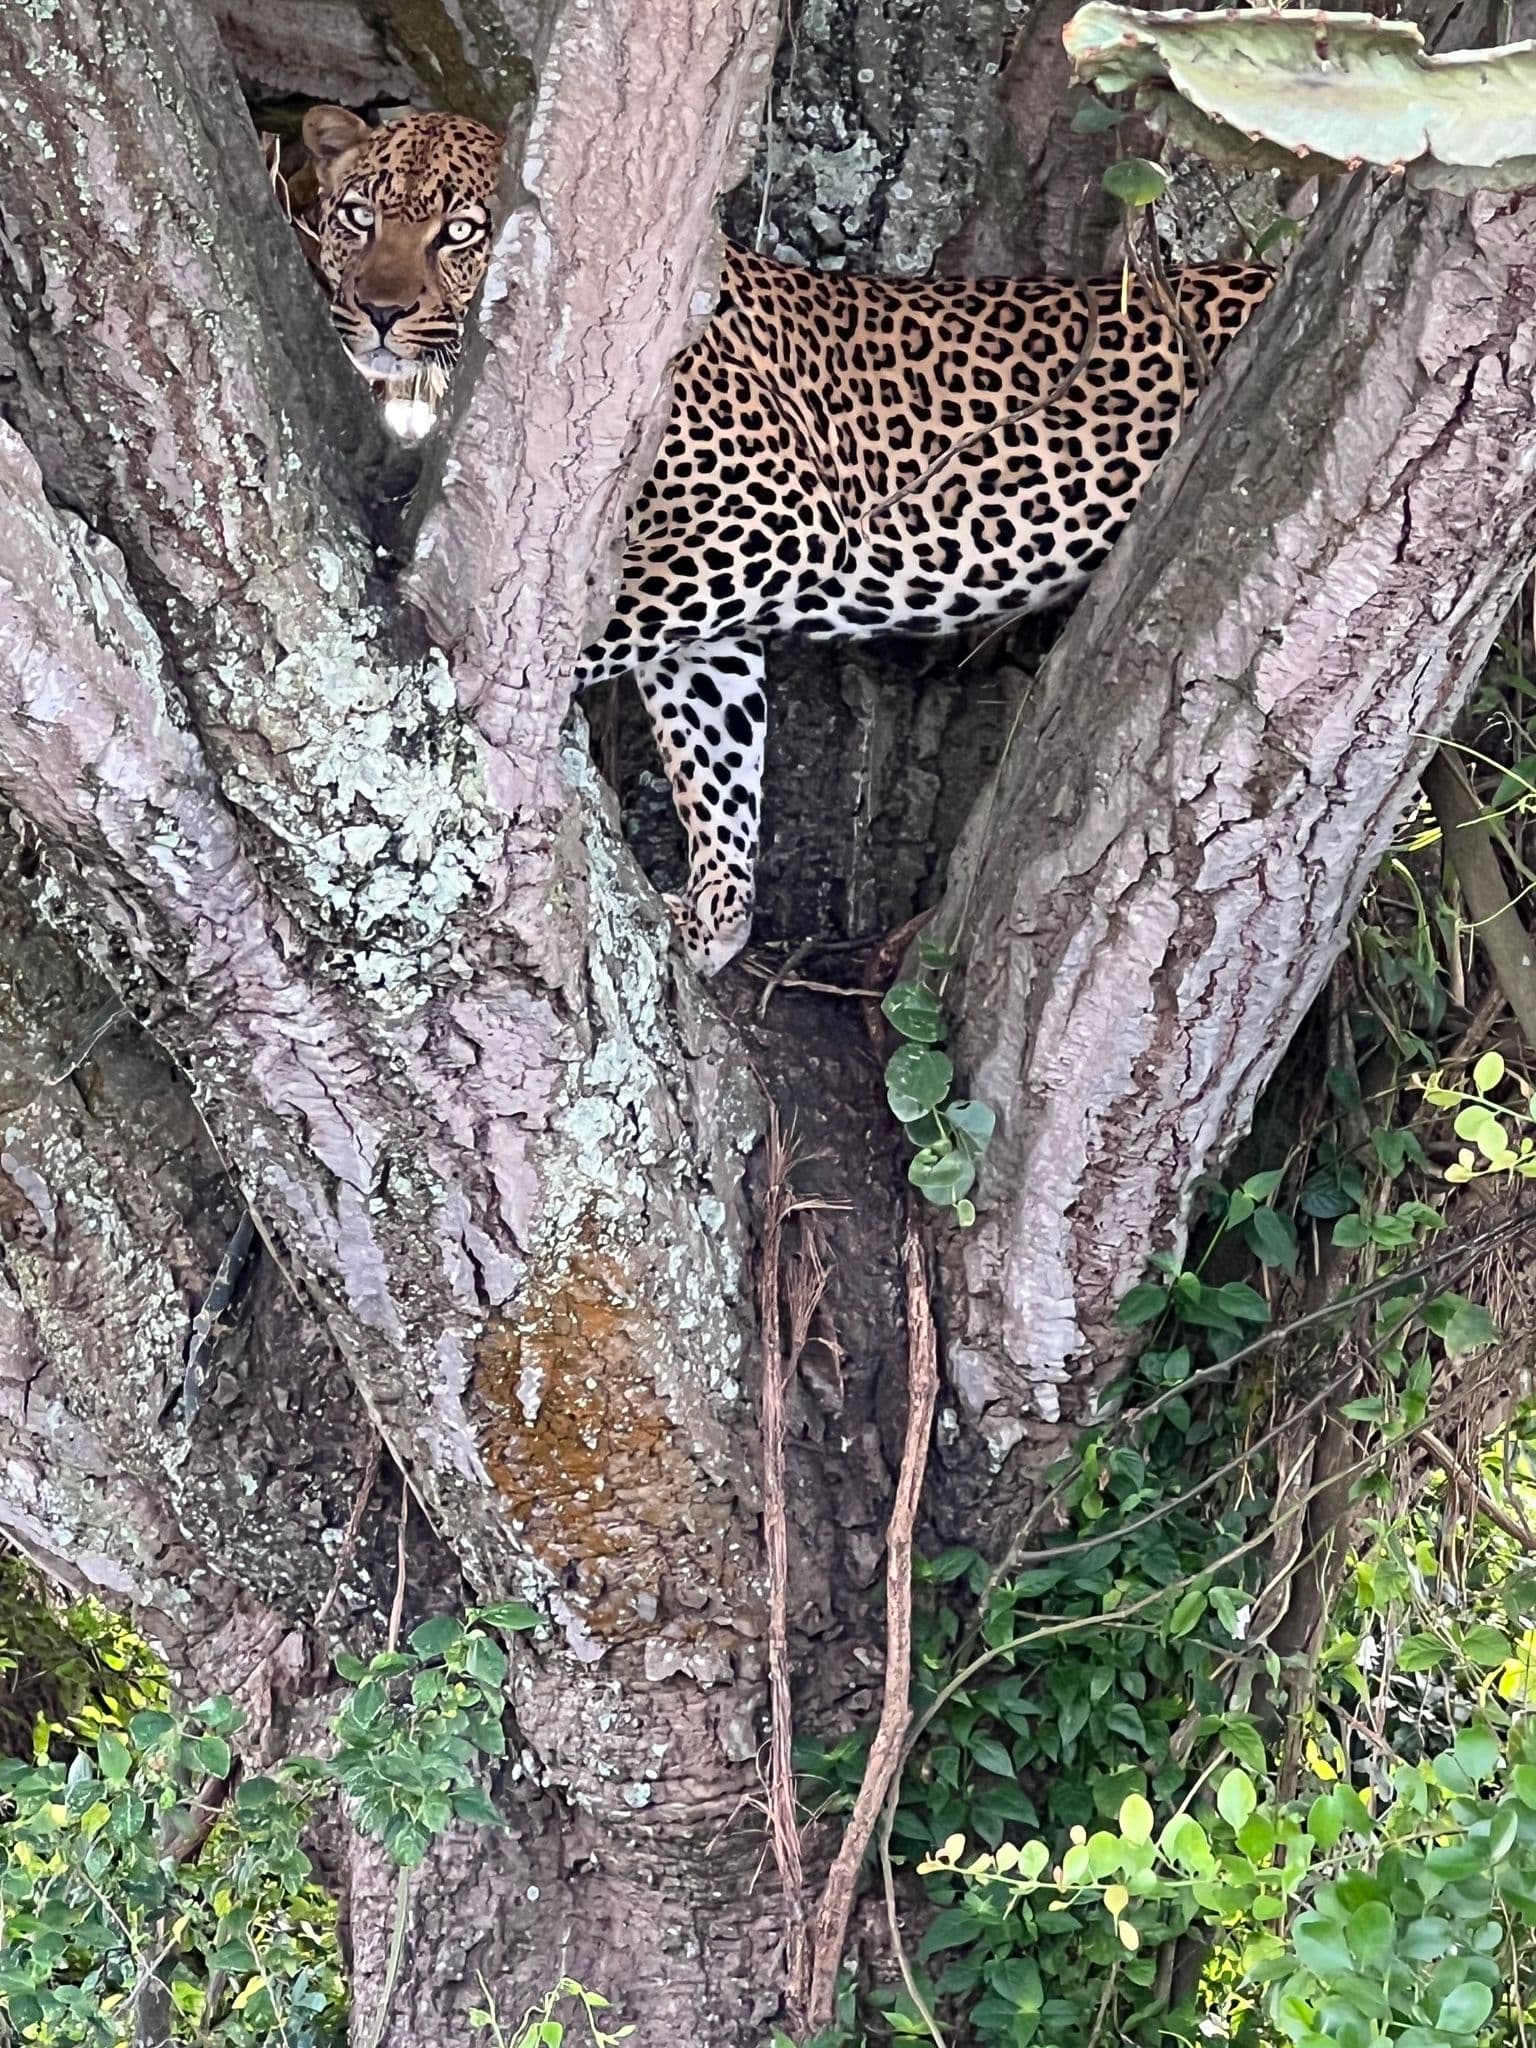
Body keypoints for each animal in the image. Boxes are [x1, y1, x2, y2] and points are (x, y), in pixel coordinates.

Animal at [303, 105, 1277, 975]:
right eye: (359, 216)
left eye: (461, 232)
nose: (378, 311)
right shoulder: (715, 608)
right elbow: (719, 757)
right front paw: (713, 922)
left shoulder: (776, 517)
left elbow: (597, 634)